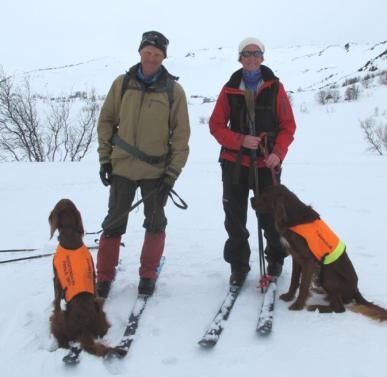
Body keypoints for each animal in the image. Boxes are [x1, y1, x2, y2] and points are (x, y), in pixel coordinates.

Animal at [48, 198, 124, 356]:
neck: (70, 234)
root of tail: (84, 329)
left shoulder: (56, 280)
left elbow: (56, 302)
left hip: (61, 319)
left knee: (62, 340)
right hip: (101, 310)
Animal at [253, 185, 387, 320]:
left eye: (264, 196)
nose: (251, 199)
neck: (294, 218)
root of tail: (356, 290)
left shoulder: (308, 260)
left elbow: (303, 285)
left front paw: (298, 305)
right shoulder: (296, 257)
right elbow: (294, 280)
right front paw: (289, 296)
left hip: (328, 275)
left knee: (339, 308)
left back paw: (316, 307)